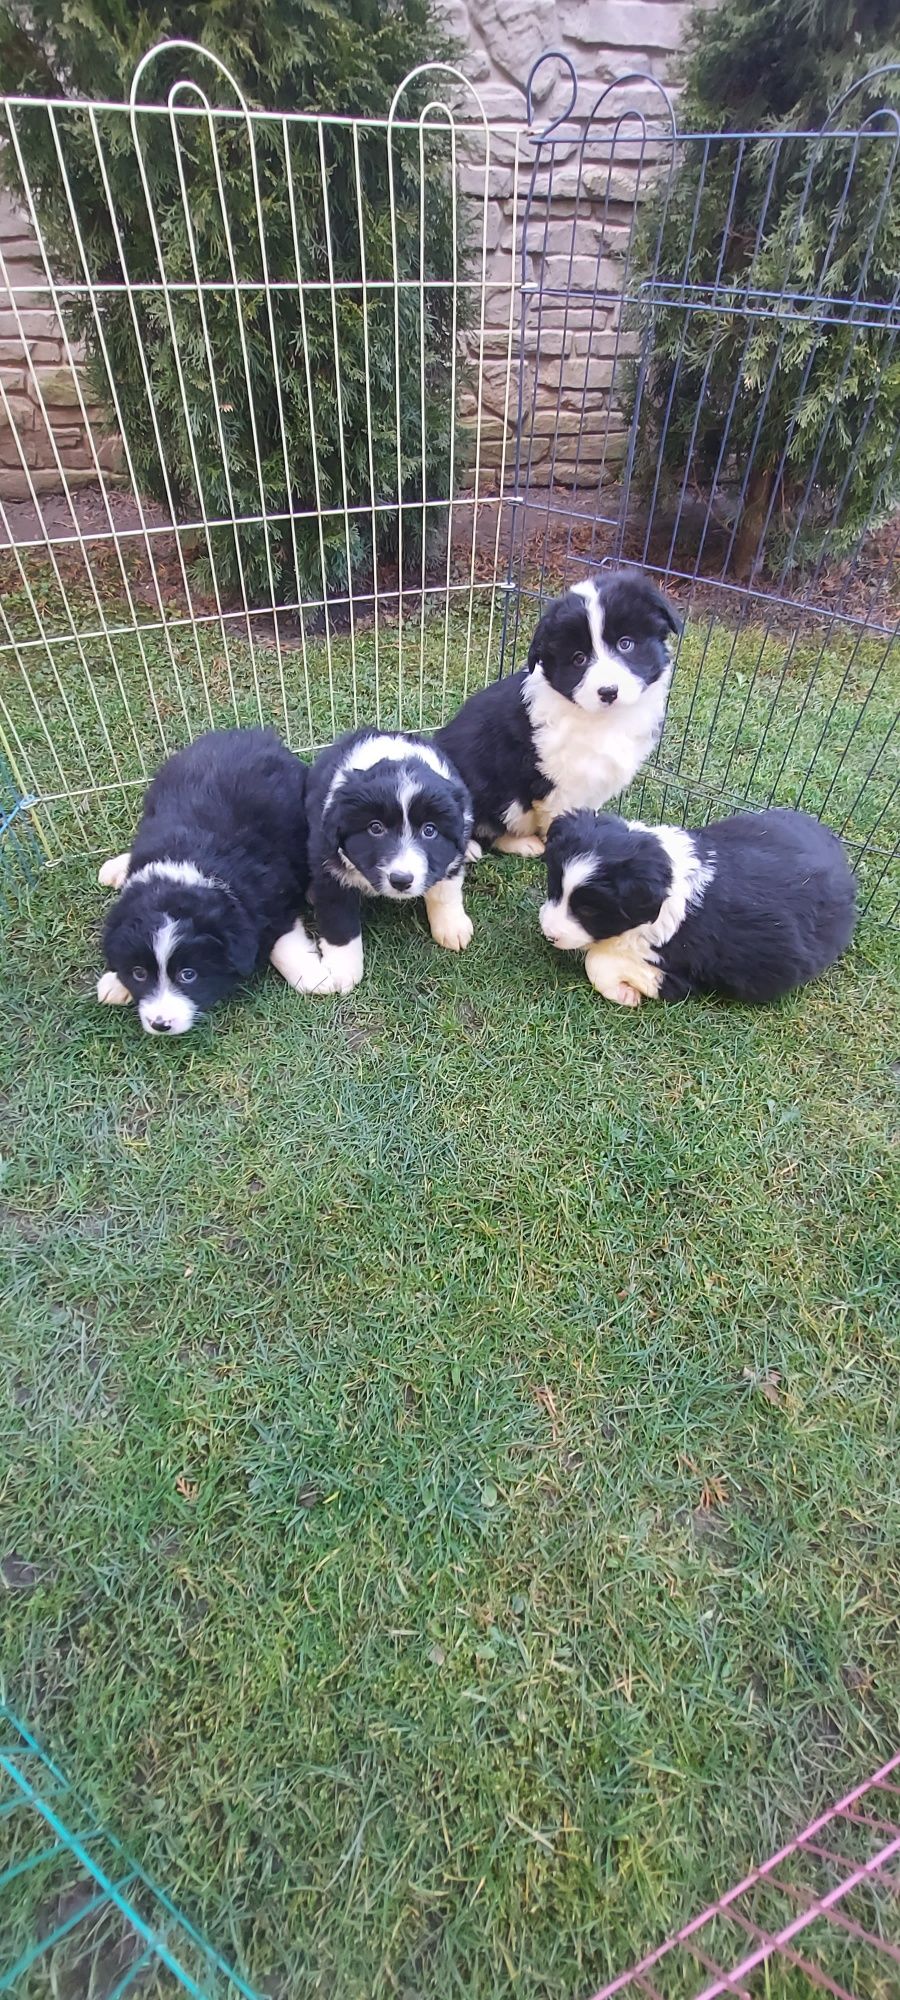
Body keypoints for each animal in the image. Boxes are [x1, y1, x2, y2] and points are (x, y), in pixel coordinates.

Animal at [96, 724, 316, 1032]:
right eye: (139, 973)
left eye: (188, 975)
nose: (160, 1024)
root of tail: (251, 732)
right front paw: (116, 983)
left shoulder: (277, 892)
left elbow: (284, 939)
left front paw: (314, 976)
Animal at [294, 728, 478, 992]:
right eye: (375, 828)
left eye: (429, 830)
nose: (401, 880)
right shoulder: (328, 867)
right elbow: (339, 919)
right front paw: (342, 969)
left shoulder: (452, 850)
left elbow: (444, 889)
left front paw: (452, 927)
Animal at [540, 804, 856, 1008]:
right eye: (553, 886)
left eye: (589, 910)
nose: (548, 934)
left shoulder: (682, 972)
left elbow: (596, 960)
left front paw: (625, 995)